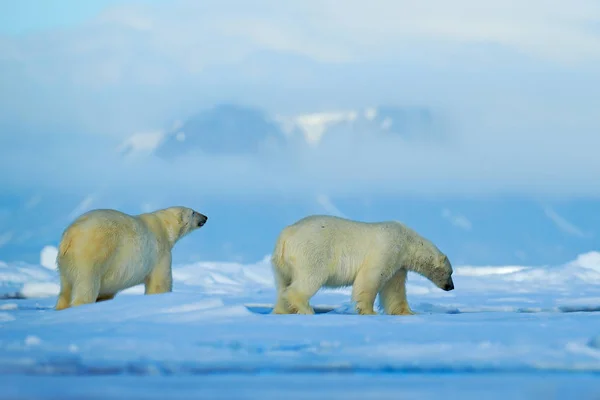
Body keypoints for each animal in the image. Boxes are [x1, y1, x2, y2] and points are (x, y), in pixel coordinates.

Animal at [54, 206, 209, 310]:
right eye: (193, 212)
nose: (205, 217)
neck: (164, 226)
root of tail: (70, 235)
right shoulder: (160, 252)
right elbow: (160, 282)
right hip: (92, 253)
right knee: (86, 284)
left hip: (65, 264)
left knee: (65, 289)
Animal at [270, 216, 452, 316]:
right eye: (449, 273)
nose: (451, 287)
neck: (408, 241)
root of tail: (286, 235)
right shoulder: (388, 249)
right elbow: (370, 278)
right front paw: (368, 311)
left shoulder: (399, 265)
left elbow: (394, 289)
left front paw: (408, 312)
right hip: (312, 252)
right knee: (309, 278)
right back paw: (306, 309)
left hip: (281, 264)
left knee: (283, 284)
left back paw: (281, 310)